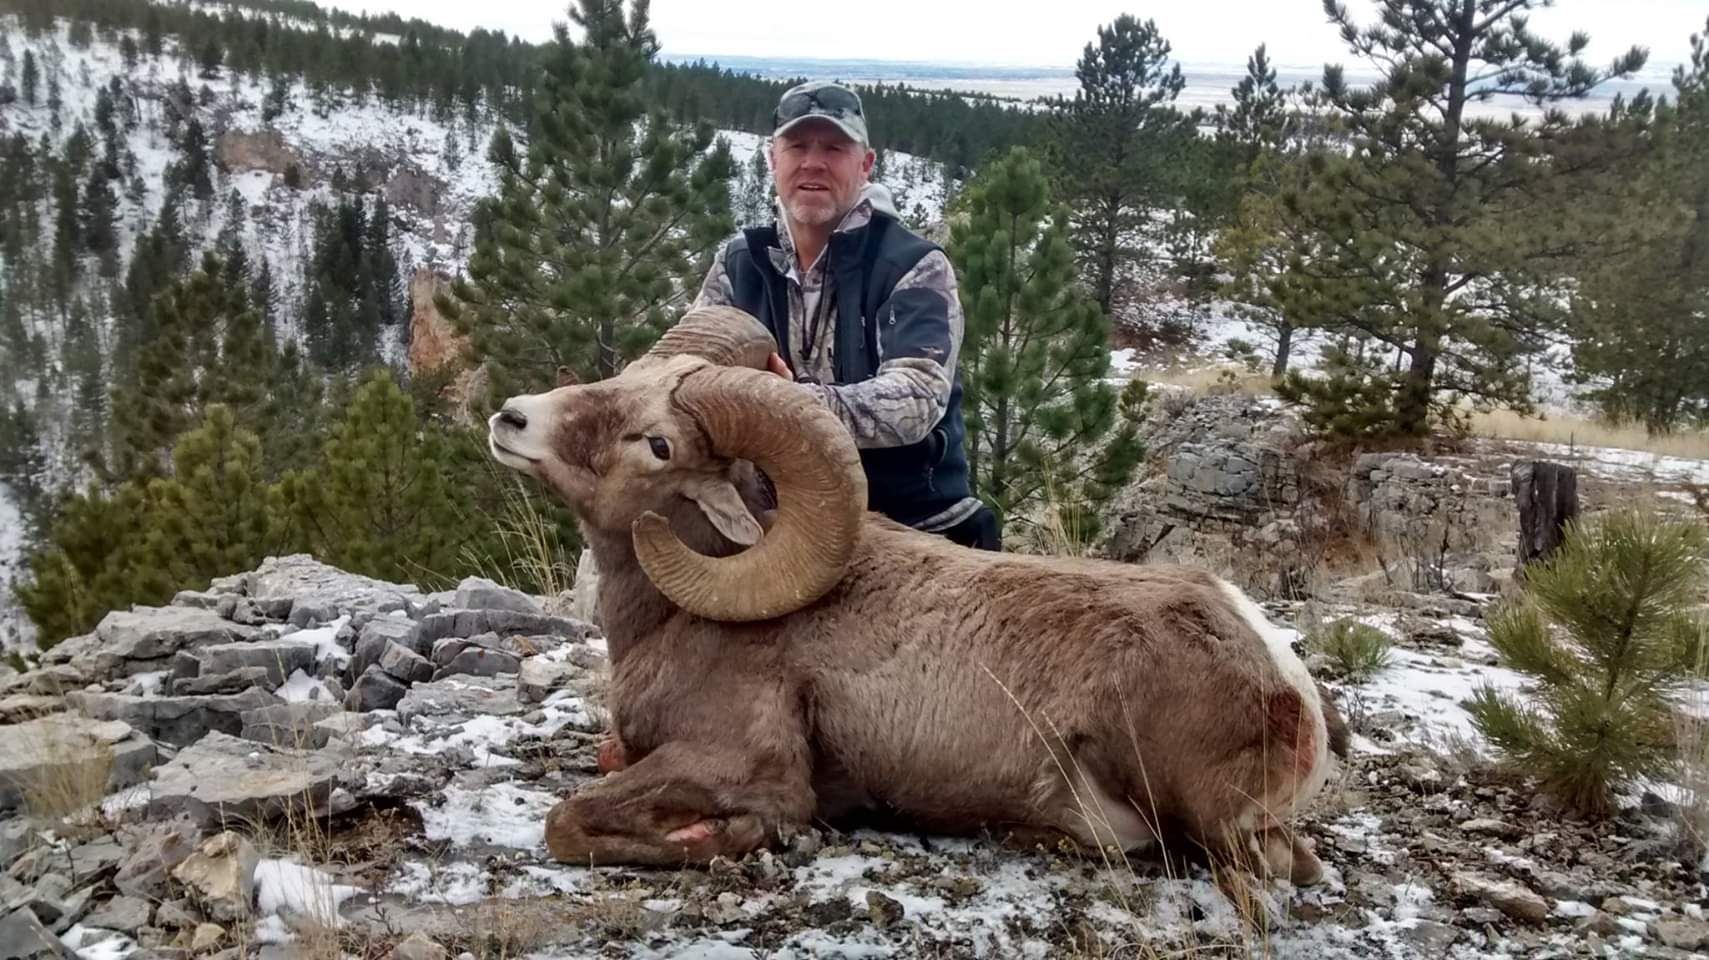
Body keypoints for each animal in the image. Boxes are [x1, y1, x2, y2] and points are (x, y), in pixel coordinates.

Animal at [487, 305, 1345, 883]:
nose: (511, 418)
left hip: (1211, 818)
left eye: (657, 443)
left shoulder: (735, 762)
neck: (674, 621)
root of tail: (1286, 682)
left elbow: (567, 821)